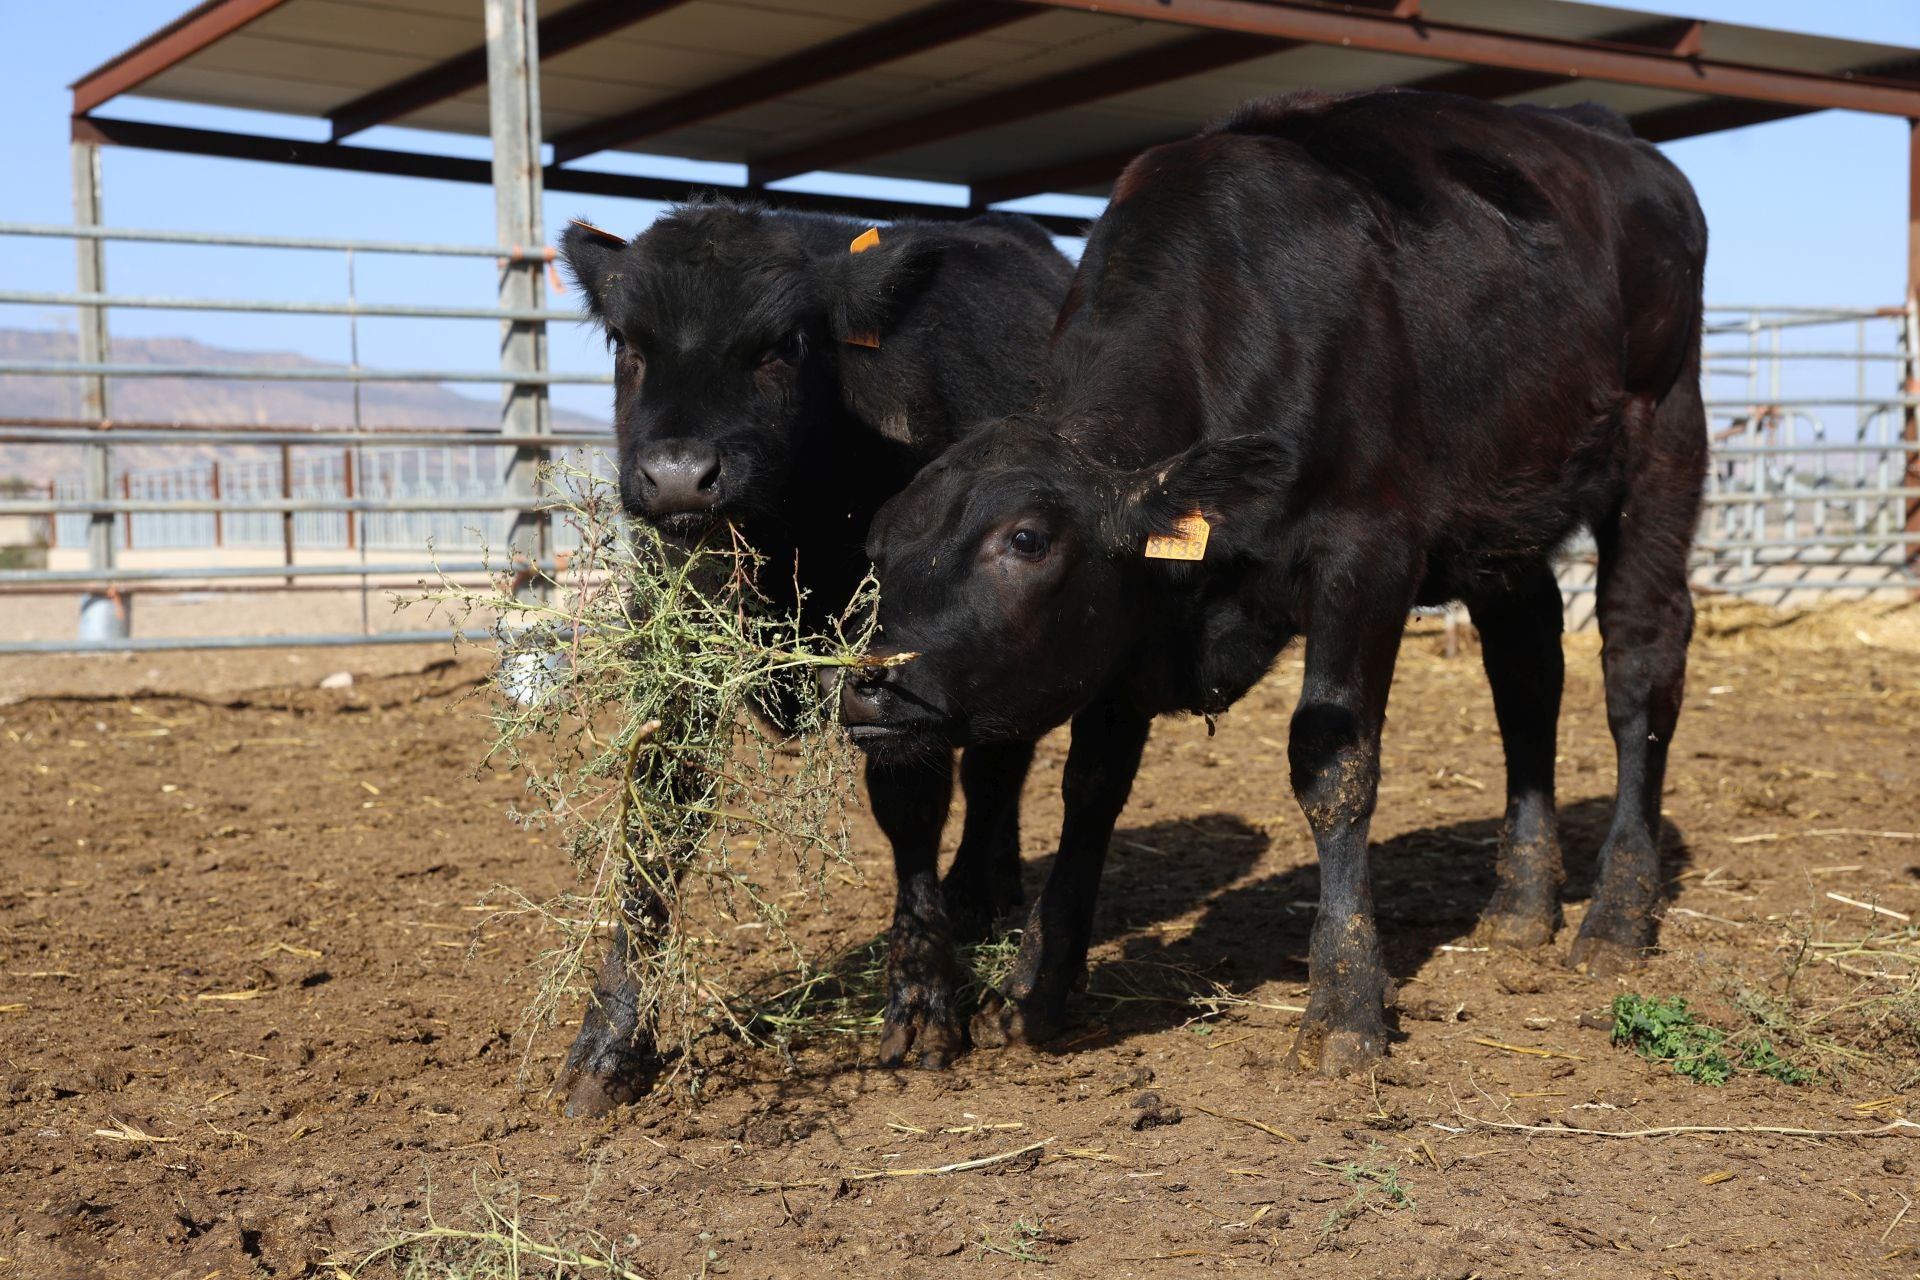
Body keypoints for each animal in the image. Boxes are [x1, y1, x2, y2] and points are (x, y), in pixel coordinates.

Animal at [556, 200, 1075, 1113]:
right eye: (625, 340)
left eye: (786, 343)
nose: (680, 476)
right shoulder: (677, 657)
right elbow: (656, 824)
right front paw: (611, 1039)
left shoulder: (903, 664)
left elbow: (911, 808)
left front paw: (923, 998)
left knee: (997, 769)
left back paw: (978, 893)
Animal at [848, 90, 1704, 1074]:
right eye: (877, 547)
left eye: (1025, 539)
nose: (870, 687)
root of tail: (1605, 128)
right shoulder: (1131, 620)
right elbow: (1092, 783)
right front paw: (1042, 980)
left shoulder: (1367, 554)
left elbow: (1333, 766)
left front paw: (1344, 1000)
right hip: (1507, 514)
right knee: (1526, 670)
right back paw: (1522, 905)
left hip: (1663, 443)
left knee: (1638, 662)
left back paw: (1617, 913)